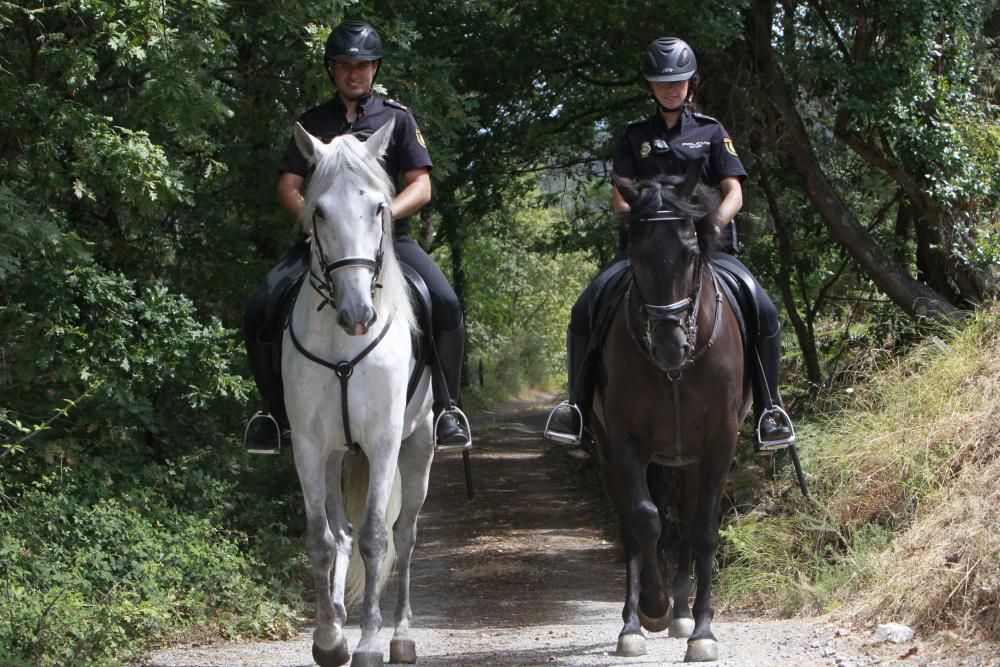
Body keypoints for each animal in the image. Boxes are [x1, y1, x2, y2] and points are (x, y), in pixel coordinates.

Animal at [284, 120, 436, 667]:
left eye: (377, 208)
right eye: (319, 211)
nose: (357, 315)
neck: (342, 343)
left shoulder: (384, 441)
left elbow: (374, 537)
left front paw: (370, 640)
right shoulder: (309, 447)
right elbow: (321, 540)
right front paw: (330, 639)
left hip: (419, 445)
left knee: (405, 534)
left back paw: (401, 634)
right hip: (335, 456)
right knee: (341, 533)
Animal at [592, 168, 752, 664]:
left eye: (690, 253)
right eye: (637, 255)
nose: (669, 345)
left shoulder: (721, 440)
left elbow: (703, 530)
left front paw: (702, 631)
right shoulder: (623, 440)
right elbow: (645, 519)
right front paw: (652, 608)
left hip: (691, 459)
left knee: (687, 515)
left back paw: (683, 614)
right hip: (615, 455)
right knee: (632, 524)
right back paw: (636, 621)